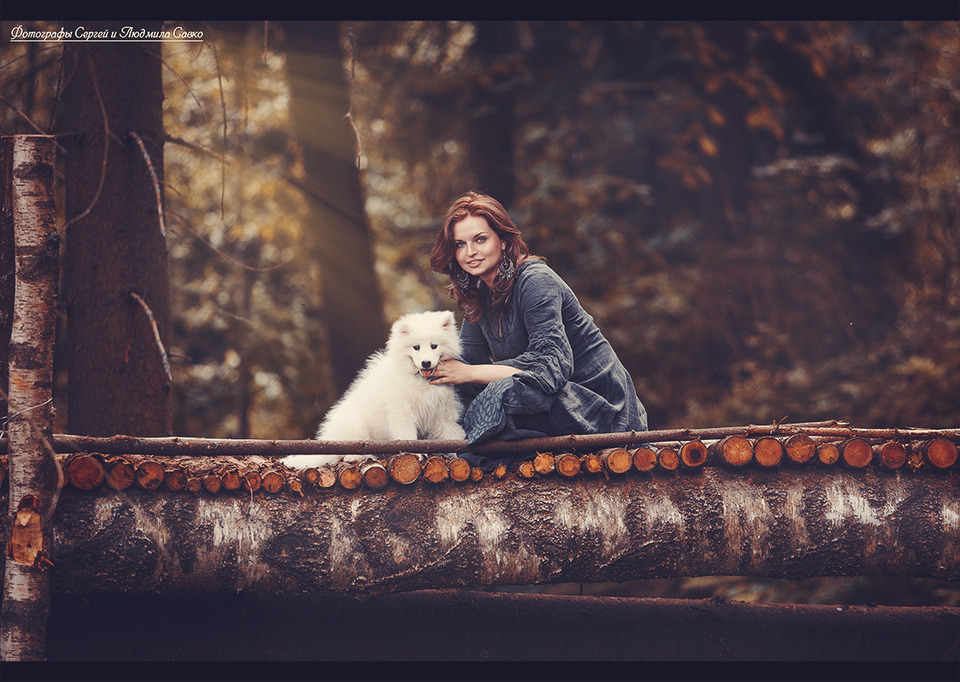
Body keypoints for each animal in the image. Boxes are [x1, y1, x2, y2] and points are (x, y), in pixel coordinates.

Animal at [282, 310, 464, 464]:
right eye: (416, 347)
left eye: (434, 346)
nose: (426, 363)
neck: (421, 379)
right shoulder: (401, 411)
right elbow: (408, 436)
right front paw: (417, 453)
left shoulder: (442, 412)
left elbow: (451, 435)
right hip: (356, 425)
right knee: (346, 454)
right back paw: (362, 456)